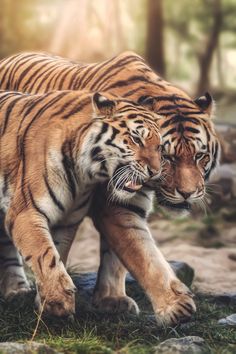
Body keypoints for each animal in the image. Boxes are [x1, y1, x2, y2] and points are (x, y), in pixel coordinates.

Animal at [0, 88, 162, 316]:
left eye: (159, 146)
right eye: (136, 139)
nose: (156, 172)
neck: (84, 174)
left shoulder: (67, 220)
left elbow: (56, 253)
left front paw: (49, 304)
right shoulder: (26, 212)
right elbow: (43, 253)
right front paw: (59, 298)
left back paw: (17, 291)